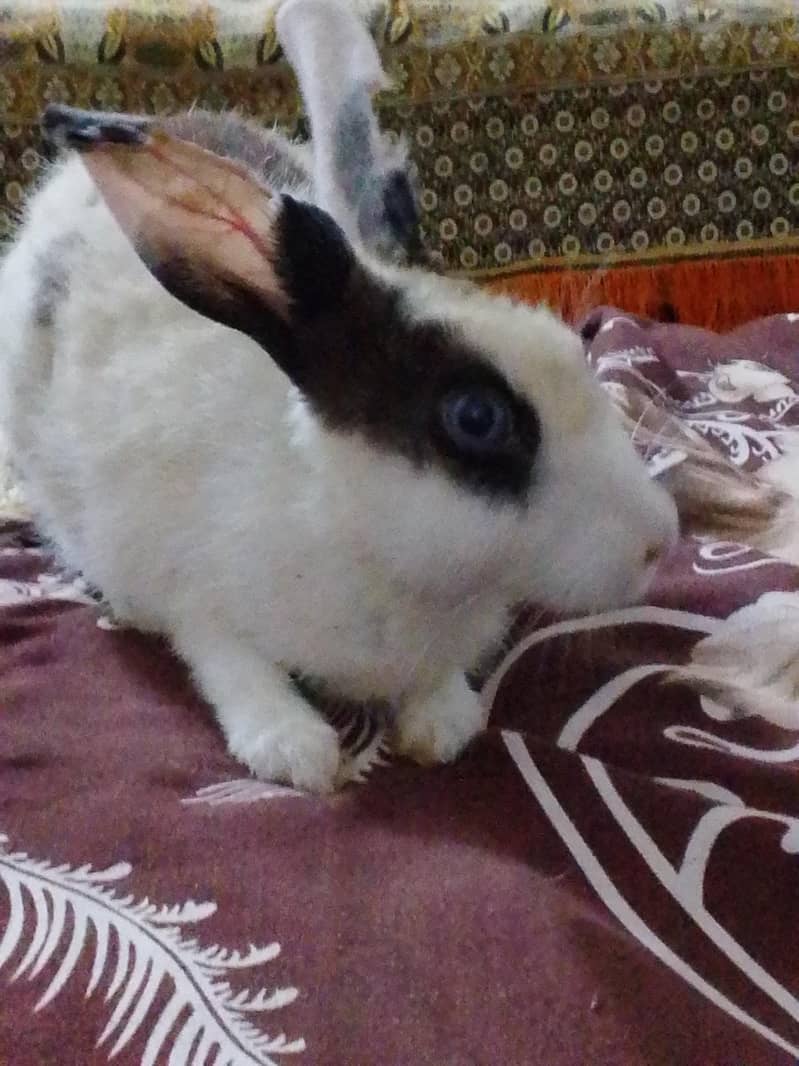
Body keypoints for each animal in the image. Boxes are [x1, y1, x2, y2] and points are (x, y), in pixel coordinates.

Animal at [0, 0, 677, 792]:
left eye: (576, 350)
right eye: (476, 418)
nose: (660, 540)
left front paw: (441, 724)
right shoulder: (197, 596)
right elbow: (228, 661)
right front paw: (294, 750)